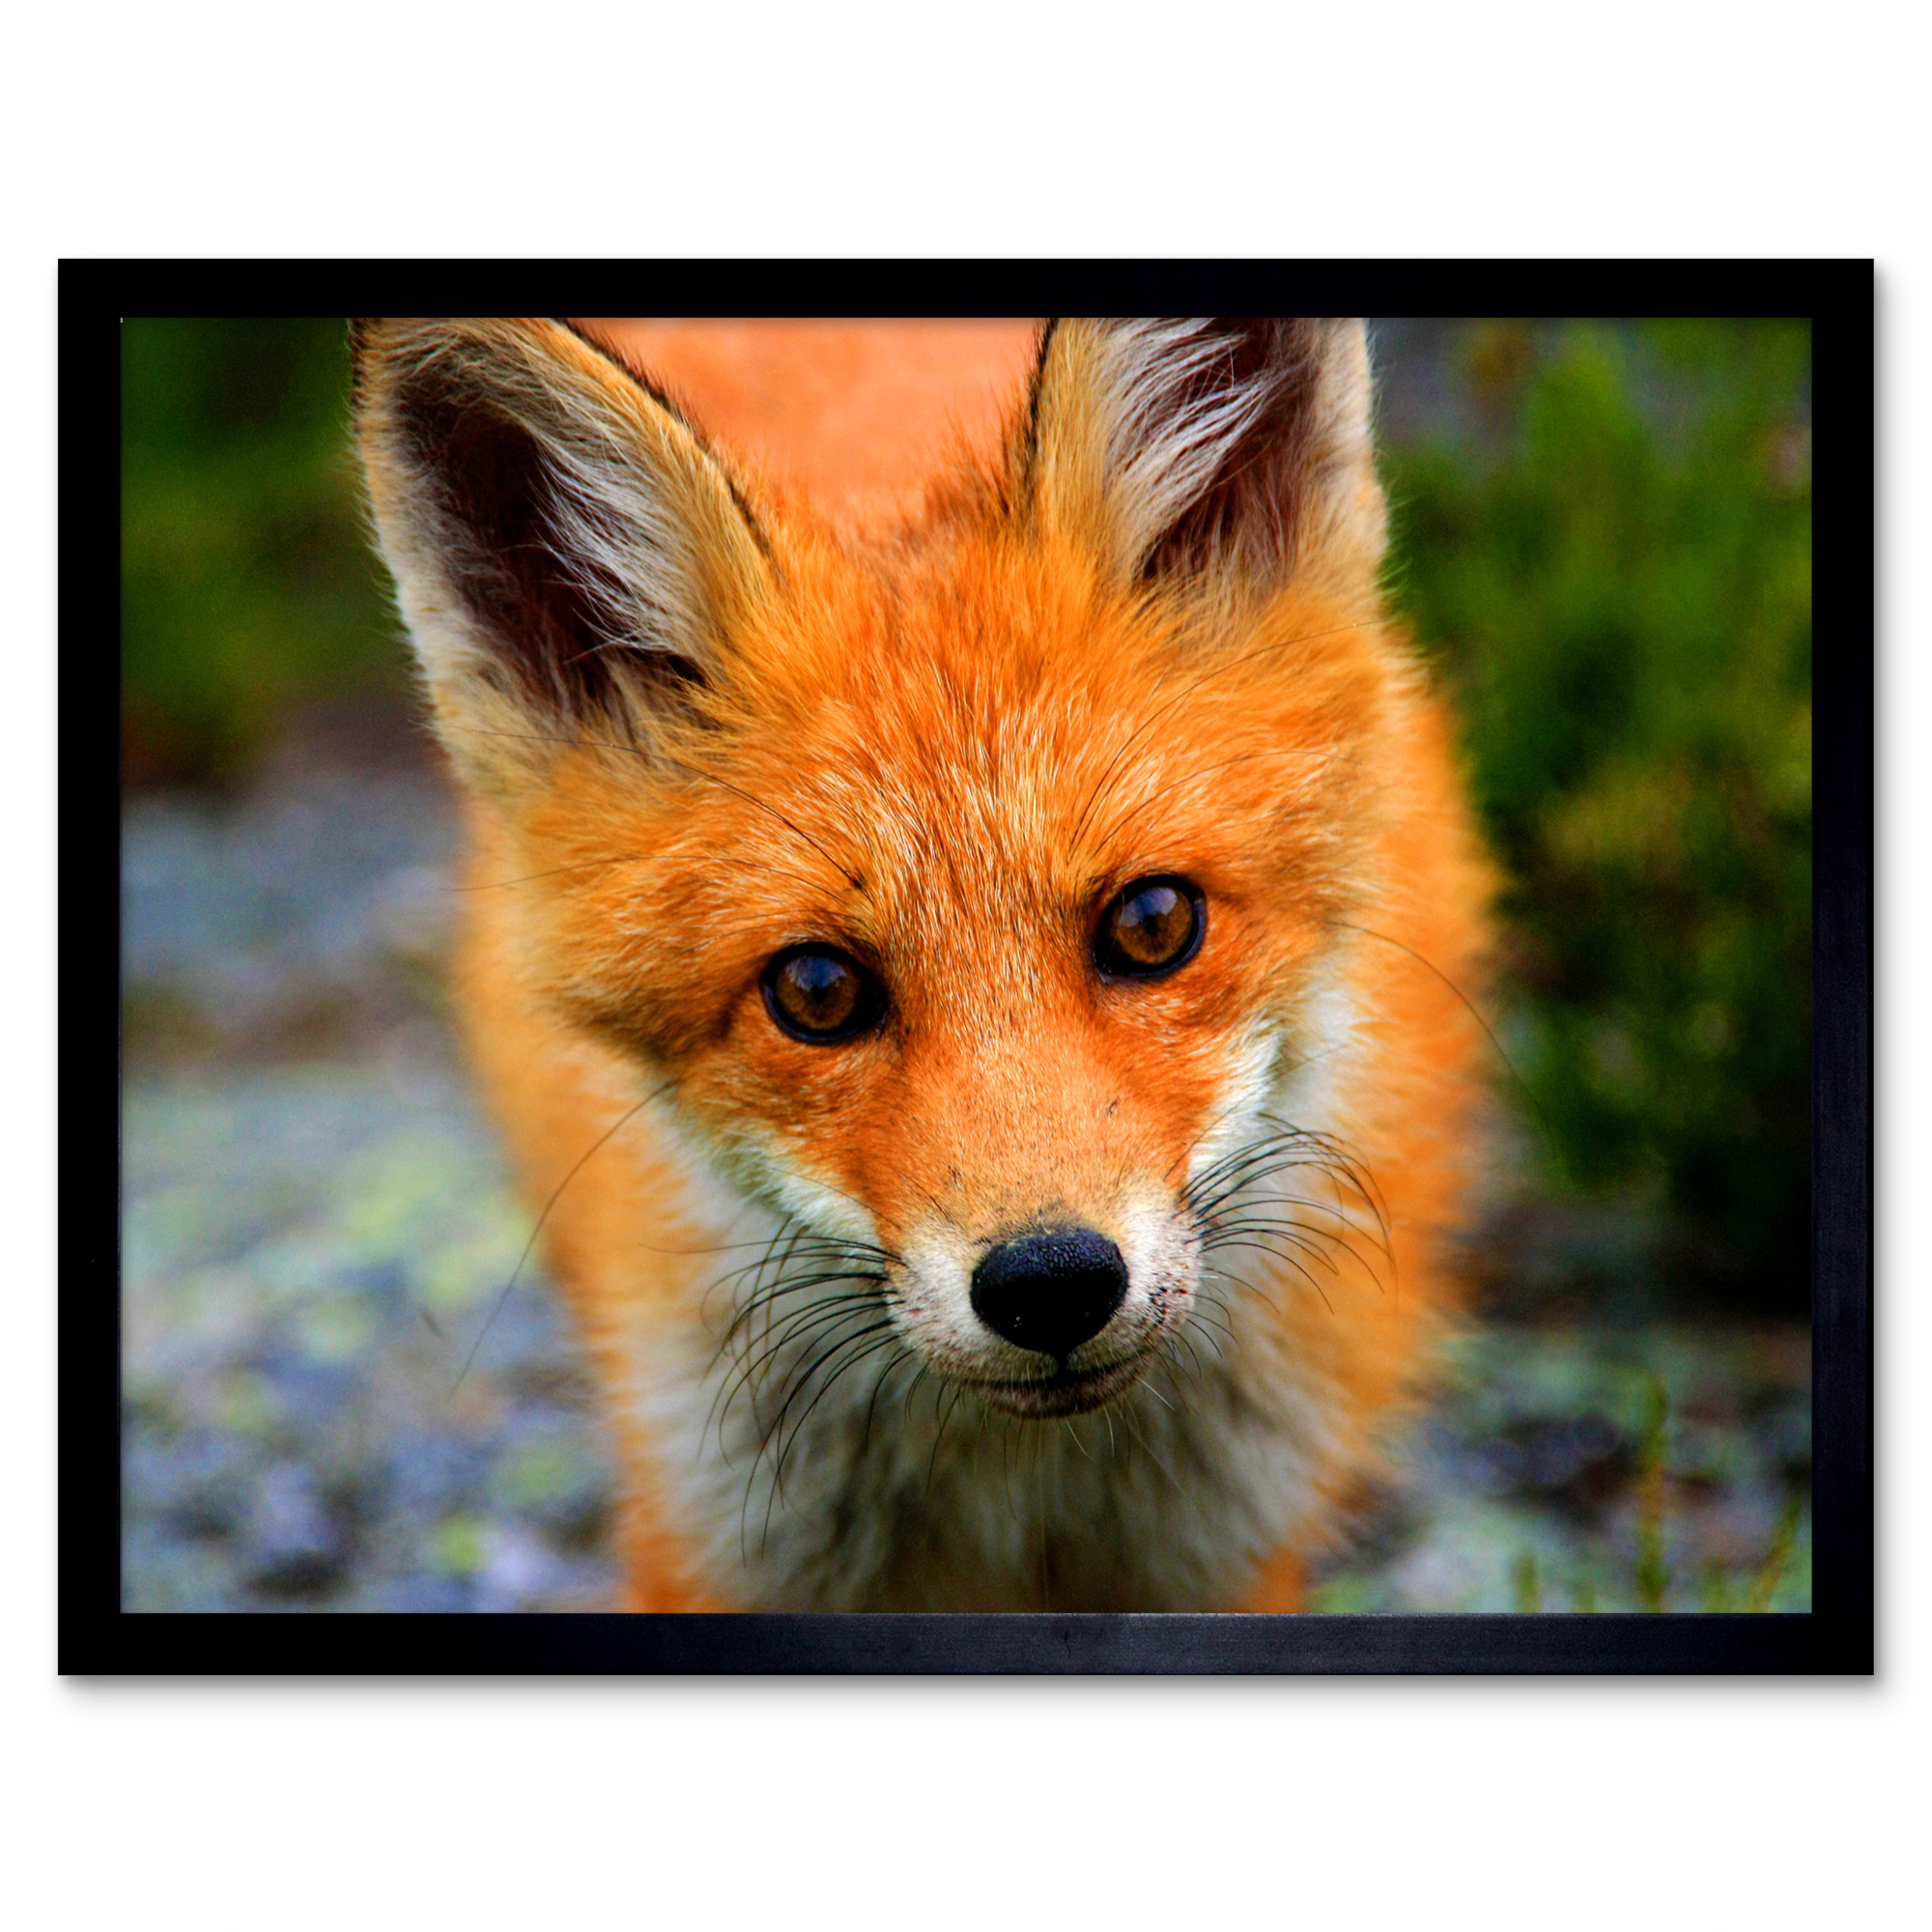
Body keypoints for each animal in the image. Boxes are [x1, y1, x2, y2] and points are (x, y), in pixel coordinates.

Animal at [352, 315, 1491, 1612]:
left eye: (1152, 922)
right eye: (816, 990)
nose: (1050, 1282)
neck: (1018, 1498)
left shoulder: (1226, 1548)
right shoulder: (713, 1540)